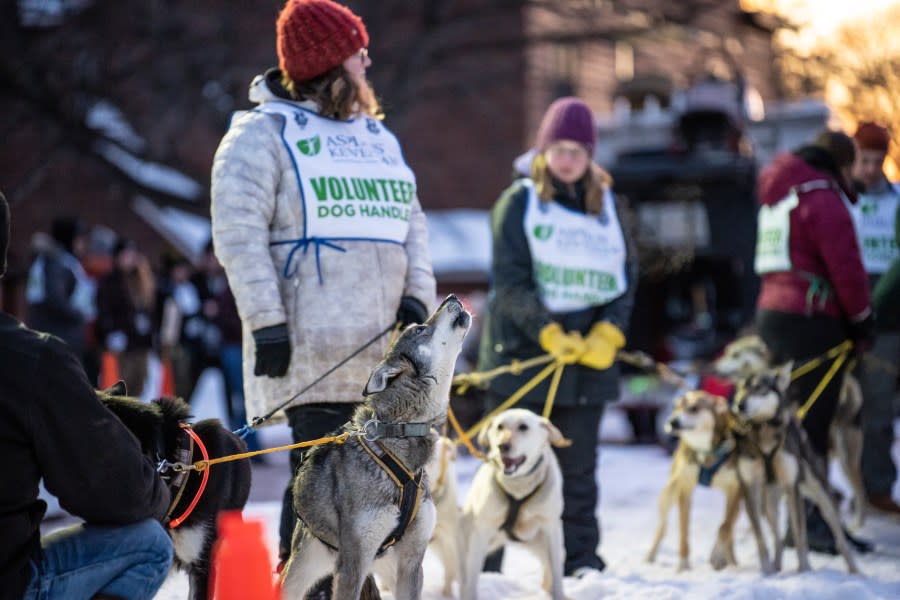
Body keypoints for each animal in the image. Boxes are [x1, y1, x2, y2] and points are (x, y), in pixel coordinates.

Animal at [460, 408, 572, 600]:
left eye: (523, 427)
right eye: (500, 426)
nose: (502, 446)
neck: (518, 488)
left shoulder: (551, 527)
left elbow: (557, 573)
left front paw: (558, 595)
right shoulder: (481, 531)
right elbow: (472, 578)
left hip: (548, 545)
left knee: (549, 570)